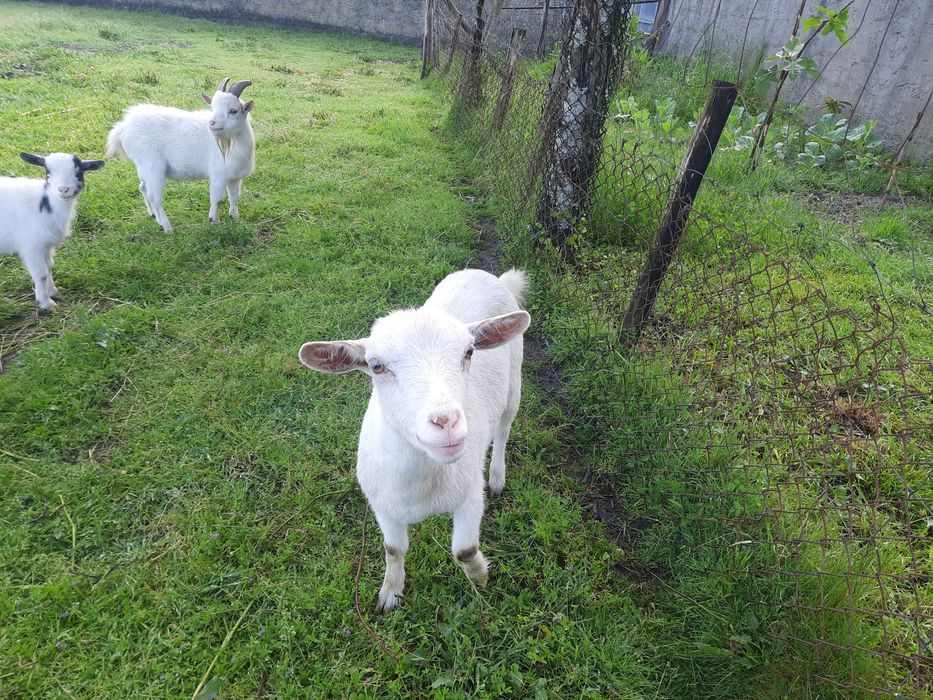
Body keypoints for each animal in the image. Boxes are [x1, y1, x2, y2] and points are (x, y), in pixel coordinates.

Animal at [0, 152, 105, 310]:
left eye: (79, 171)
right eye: (47, 172)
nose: (63, 189)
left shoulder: (46, 245)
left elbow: (49, 266)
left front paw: (53, 292)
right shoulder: (31, 246)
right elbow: (41, 274)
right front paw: (46, 303)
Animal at [106, 77, 255, 232]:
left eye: (233, 111)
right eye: (213, 107)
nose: (211, 123)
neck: (232, 143)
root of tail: (123, 128)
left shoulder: (235, 178)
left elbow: (234, 197)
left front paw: (234, 217)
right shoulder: (218, 175)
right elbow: (217, 200)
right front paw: (214, 221)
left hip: (142, 167)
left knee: (143, 188)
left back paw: (153, 215)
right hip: (153, 167)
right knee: (155, 197)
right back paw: (167, 227)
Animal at [299, 269, 530, 612]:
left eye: (469, 352)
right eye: (376, 366)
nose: (446, 421)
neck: (421, 488)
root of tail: (490, 277)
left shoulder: (470, 494)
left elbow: (464, 550)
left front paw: (480, 577)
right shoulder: (382, 504)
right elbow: (393, 549)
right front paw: (390, 593)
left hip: (514, 384)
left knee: (503, 430)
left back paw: (498, 477)